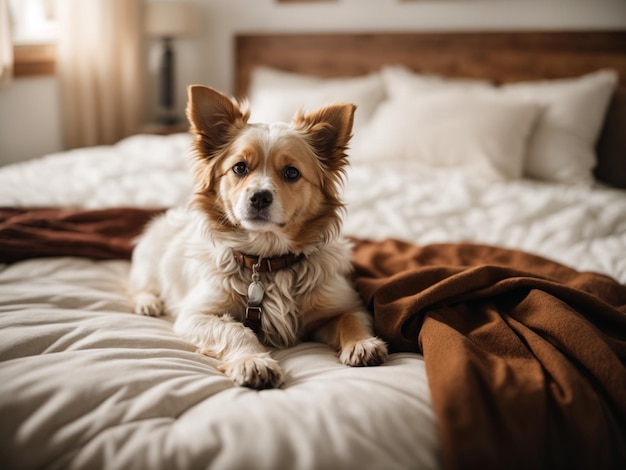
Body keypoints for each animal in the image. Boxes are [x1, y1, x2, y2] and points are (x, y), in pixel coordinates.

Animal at [128, 85, 386, 390]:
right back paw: (148, 303)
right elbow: (237, 331)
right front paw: (253, 361)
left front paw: (363, 343)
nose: (259, 197)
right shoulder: (196, 315)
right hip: (149, 264)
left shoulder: (344, 305)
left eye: (291, 172)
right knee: (138, 286)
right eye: (239, 168)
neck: (266, 261)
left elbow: (350, 320)